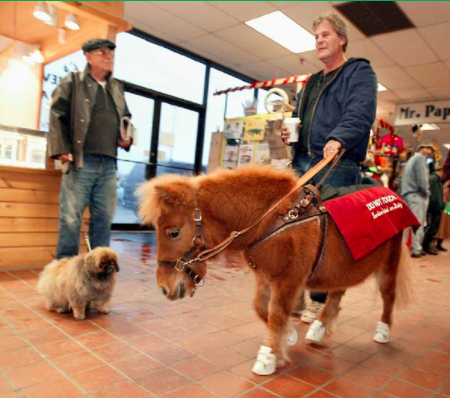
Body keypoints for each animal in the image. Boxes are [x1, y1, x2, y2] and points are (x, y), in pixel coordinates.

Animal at [138, 166, 414, 376]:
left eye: (173, 232)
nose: (165, 288)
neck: (272, 219)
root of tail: (393, 193)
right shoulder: (265, 278)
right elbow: (262, 308)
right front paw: (288, 336)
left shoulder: (288, 281)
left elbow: (277, 313)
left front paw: (268, 356)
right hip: (345, 265)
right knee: (337, 293)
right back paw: (319, 328)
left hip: (389, 263)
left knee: (388, 295)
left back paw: (383, 331)